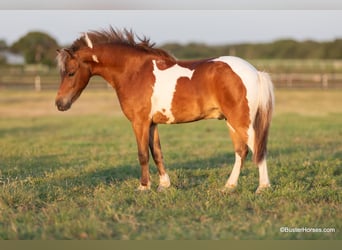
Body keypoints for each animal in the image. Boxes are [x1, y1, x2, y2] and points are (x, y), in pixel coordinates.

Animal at [56, 28, 276, 193]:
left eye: (71, 73)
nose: (59, 103)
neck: (134, 72)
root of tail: (255, 72)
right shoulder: (152, 123)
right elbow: (157, 153)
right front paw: (164, 185)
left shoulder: (140, 122)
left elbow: (143, 154)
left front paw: (143, 187)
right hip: (232, 122)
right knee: (241, 151)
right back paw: (229, 187)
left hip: (241, 122)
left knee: (257, 149)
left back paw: (262, 187)